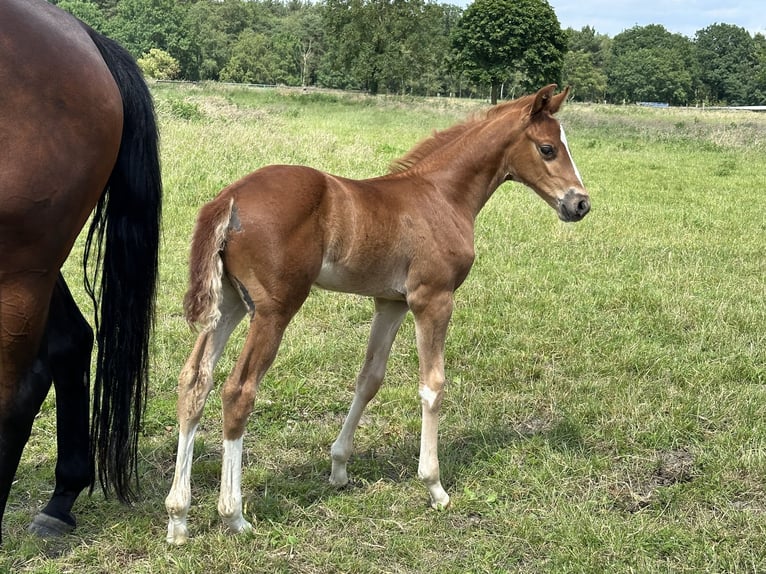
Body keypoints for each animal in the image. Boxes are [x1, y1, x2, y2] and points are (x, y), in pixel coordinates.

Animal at [165, 84, 592, 544]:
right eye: (548, 148)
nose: (580, 204)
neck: (442, 195)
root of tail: (230, 197)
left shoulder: (391, 303)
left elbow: (369, 379)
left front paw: (339, 467)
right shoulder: (432, 298)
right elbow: (433, 386)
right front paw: (434, 486)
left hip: (228, 301)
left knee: (195, 381)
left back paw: (178, 517)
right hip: (273, 309)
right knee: (238, 391)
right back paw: (234, 514)